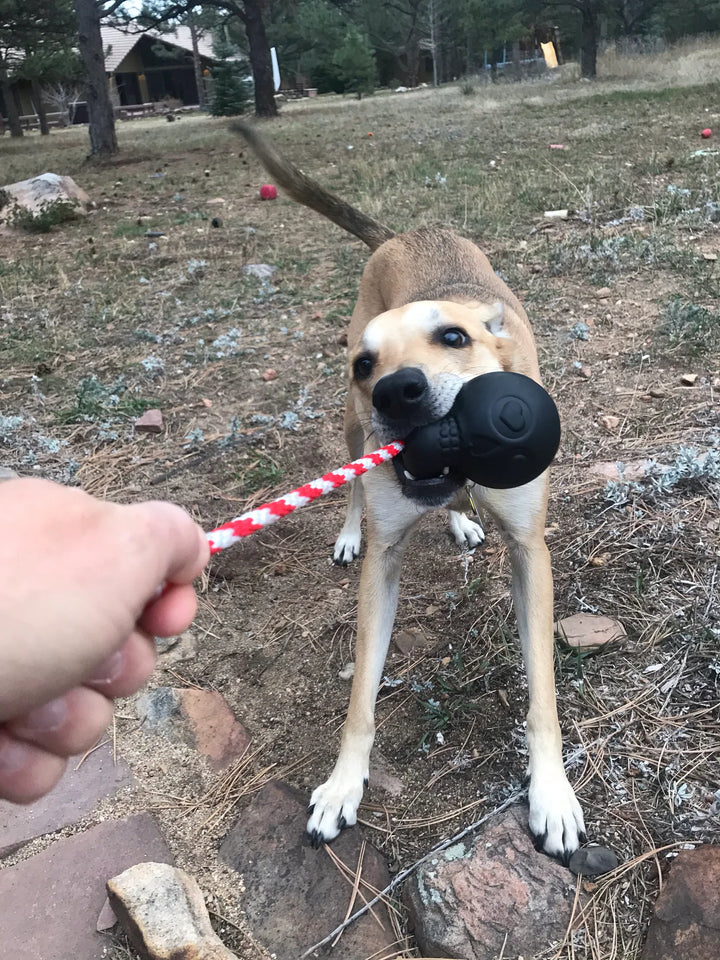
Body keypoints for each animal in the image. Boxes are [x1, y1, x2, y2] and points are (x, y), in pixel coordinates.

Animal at [236, 122, 584, 864]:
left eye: (453, 337)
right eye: (367, 364)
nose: (397, 392)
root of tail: (406, 233)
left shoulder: (530, 551)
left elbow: (542, 688)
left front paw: (551, 792)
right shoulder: (385, 560)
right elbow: (361, 695)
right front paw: (344, 783)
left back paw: (458, 521)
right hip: (348, 423)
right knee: (351, 483)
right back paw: (353, 529)